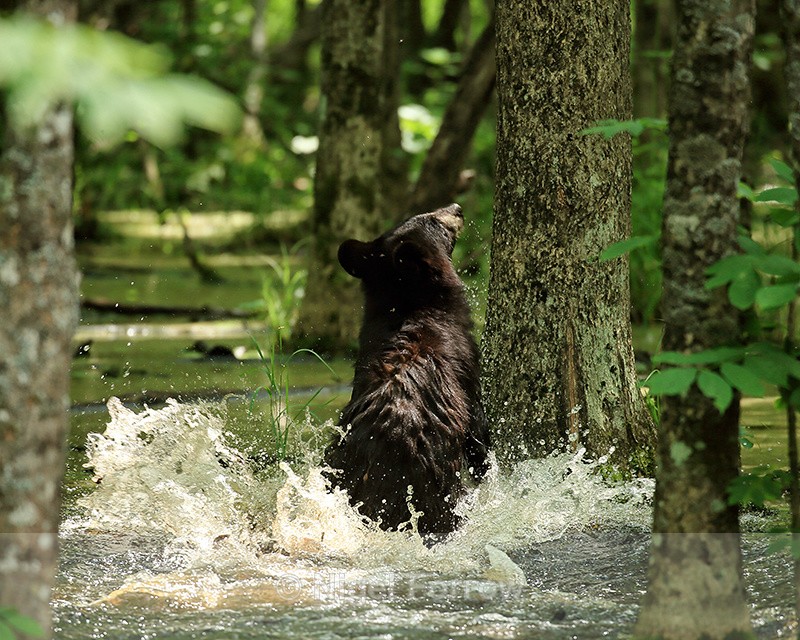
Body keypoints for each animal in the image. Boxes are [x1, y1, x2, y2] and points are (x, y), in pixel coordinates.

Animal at [324, 203, 491, 538]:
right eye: (433, 220)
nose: (457, 208)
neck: (408, 307)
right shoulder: (463, 363)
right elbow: (476, 428)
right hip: (435, 485)